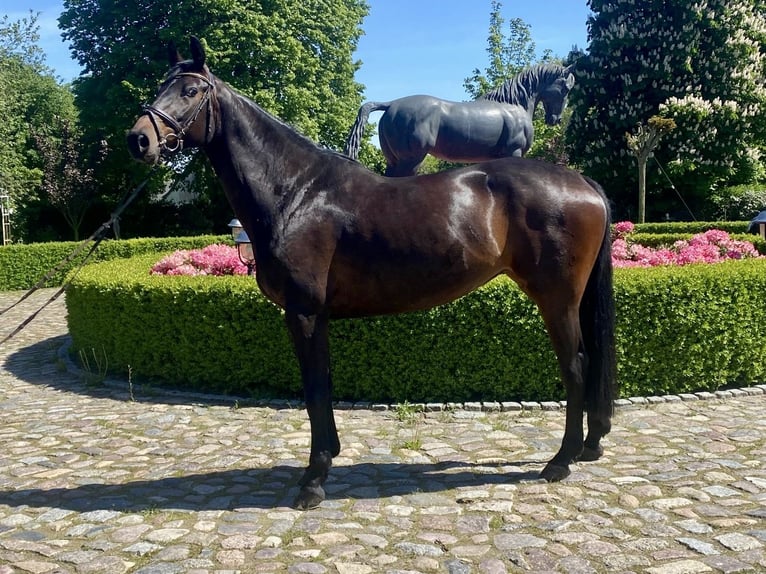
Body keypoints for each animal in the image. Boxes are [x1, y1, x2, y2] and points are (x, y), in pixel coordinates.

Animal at [344, 63, 572, 176]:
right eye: (566, 88)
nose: (556, 119)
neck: (514, 105)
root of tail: (391, 104)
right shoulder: (513, 152)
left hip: (394, 160)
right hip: (410, 161)